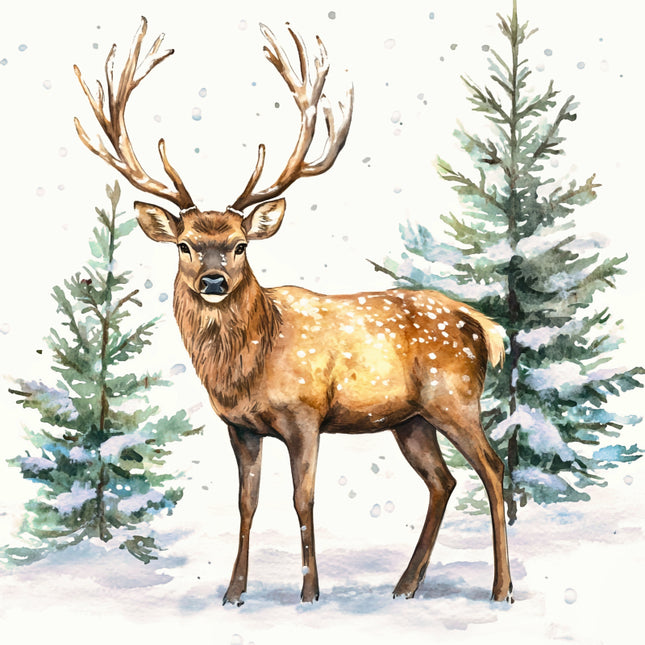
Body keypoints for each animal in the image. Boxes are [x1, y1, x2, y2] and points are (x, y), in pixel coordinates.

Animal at [73, 17, 513, 605]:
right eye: (185, 245)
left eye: (240, 245)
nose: (213, 280)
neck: (248, 364)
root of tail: (484, 326)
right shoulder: (240, 426)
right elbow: (247, 503)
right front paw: (233, 593)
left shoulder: (306, 414)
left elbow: (303, 499)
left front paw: (309, 594)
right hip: (410, 419)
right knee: (443, 481)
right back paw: (405, 585)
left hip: (455, 398)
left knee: (493, 468)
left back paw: (501, 589)